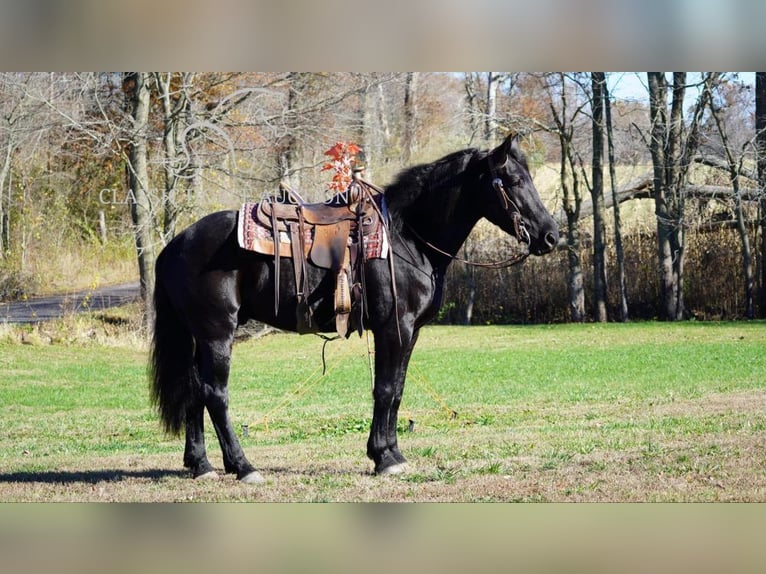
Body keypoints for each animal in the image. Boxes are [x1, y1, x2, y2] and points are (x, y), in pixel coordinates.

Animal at [152, 134, 560, 482]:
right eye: (513, 181)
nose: (550, 236)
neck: (408, 237)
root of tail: (175, 244)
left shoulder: (410, 332)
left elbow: (397, 389)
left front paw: (392, 453)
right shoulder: (395, 327)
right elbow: (385, 389)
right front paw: (384, 458)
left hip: (199, 337)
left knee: (194, 392)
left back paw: (201, 465)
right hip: (218, 334)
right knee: (215, 394)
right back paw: (243, 466)